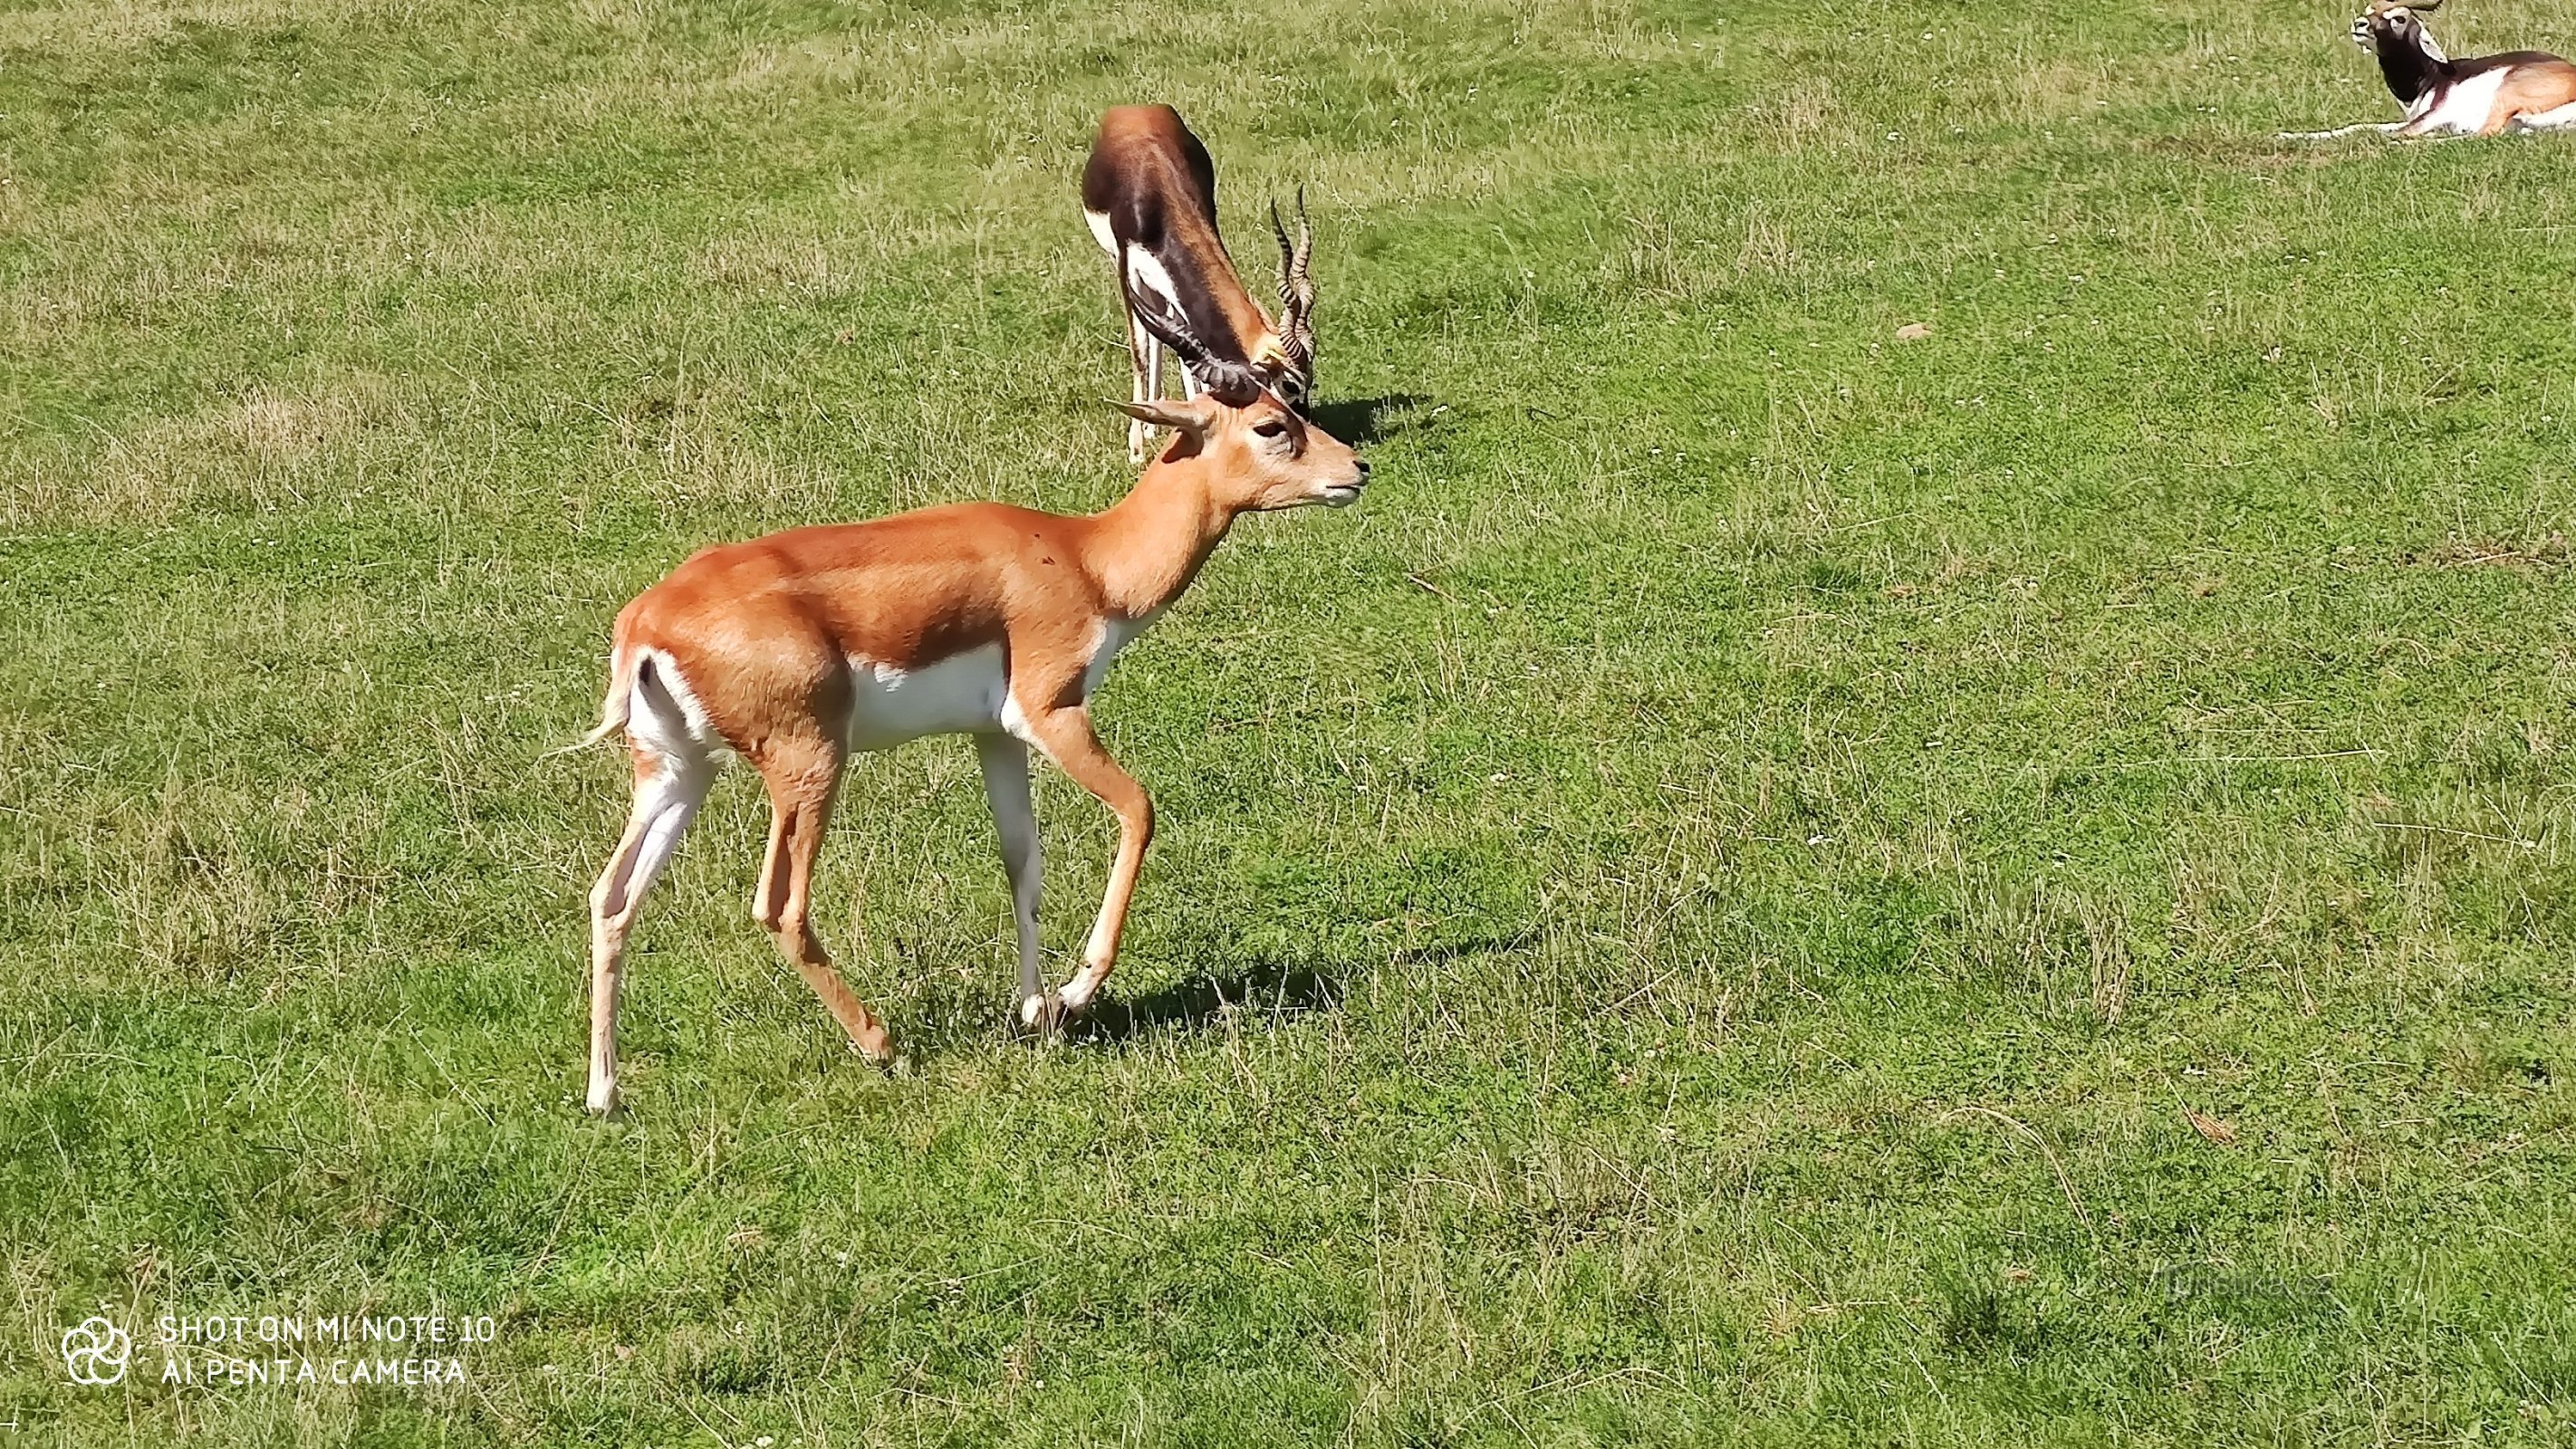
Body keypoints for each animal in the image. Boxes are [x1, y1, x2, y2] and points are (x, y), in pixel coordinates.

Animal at [566, 286, 1370, 1122]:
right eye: (1271, 425)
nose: (1357, 468)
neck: (1086, 558)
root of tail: (646, 626)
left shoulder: (995, 735)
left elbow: (1023, 860)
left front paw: (1035, 1011)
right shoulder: (1050, 712)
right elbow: (1139, 809)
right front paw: (1076, 993)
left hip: (678, 771)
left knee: (611, 897)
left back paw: (604, 1093)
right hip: (807, 762)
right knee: (778, 904)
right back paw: (882, 1044)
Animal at [1081, 104, 1319, 463]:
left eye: (1312, 379)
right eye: (1290, 384)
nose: (1306, 422)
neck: (1158, 193)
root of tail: (1135, 108)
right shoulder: (1126, 269)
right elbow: (1140, 351)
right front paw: (1136, 448)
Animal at [2287, 0, 2576, 139]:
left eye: (2399, 18)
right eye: (2369, 10)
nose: (2359, 24)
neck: (2432, 79)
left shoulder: (2435, 114)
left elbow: (2393, 131)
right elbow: (2358, 126)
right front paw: (2288, 134)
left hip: (2505, 97)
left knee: (2483, 134)